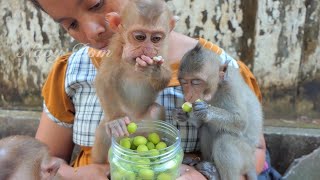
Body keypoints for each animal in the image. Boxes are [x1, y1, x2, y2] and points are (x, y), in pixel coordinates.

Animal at [92, 0, 175, 164]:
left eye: (156, 39)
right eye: (140, 37)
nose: (148, 49)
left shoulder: (163, 49)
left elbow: (165, 78)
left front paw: (154, 70)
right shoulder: (116, 48)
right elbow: (104, 80)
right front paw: (116, 120)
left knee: (155, 110)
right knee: (105, 129)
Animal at [174, 44, 264, 180]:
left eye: (196, 82)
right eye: (184, 82)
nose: (188, 95)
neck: (216, 90)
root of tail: (251, 162)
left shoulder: (231, 88)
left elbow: (241, 122)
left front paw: (207, 111)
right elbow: (200, 124)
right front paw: (185, 115)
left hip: (245, 156)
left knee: (225, 141)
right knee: (206, 128)